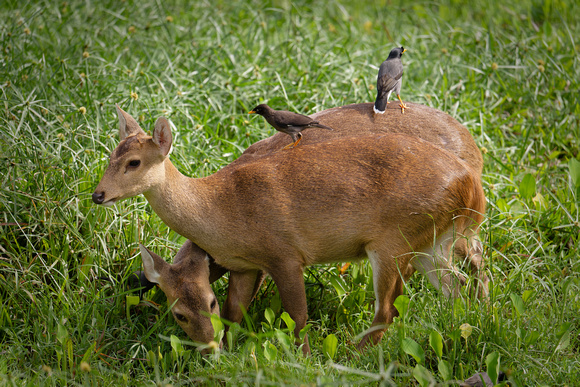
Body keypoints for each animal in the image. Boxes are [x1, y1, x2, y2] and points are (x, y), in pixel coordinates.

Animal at [93, 104, 488, 354]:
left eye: (133, 162)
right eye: (178, 314)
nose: (98, 194)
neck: (222, 208)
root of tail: (471, 181)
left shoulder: (284, 254)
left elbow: (297, 317)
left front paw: (304, 358)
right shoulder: (244, 265)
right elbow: (237, 312)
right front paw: (232, 353)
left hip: (393, 242)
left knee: (389, 309)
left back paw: (349, 355)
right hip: (430, 244)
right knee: (457, 284)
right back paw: (464, 324)